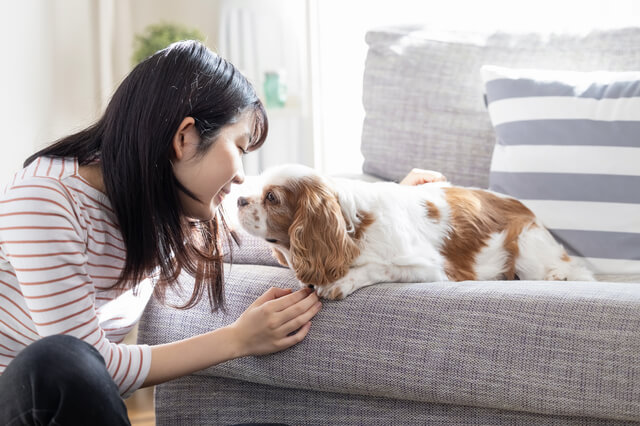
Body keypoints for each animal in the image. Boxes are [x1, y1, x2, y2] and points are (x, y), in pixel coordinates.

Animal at [235, 163, 596, 300]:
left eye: (272, 197)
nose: (238, 199)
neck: (352, 229)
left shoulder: (428, 268)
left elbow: (377, 268)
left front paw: (341, 282)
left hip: (526, 247)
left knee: (575, 270)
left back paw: (558, 275)